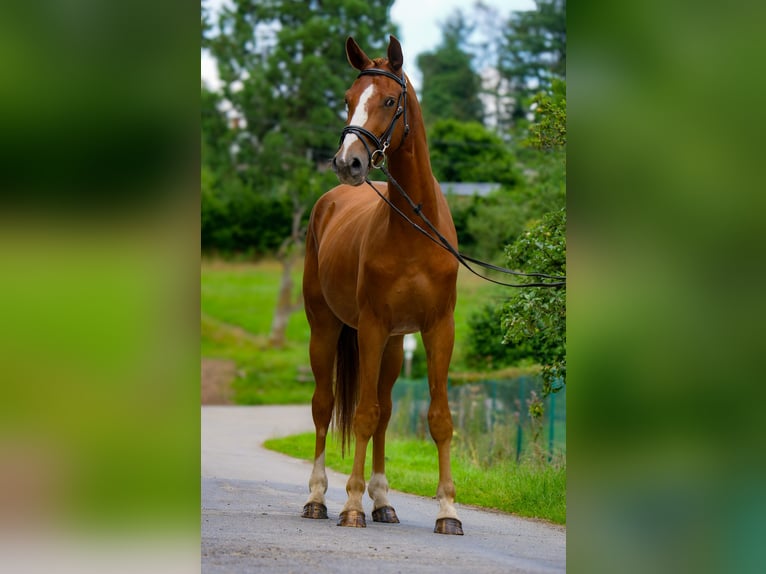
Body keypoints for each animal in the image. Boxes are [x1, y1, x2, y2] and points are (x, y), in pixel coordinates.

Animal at [304, 36, 464, 536]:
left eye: (391, 101)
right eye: (348, 99)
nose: (347, 162)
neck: (413, 230)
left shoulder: (437, 329)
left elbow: (438, 418)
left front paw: (448, 511)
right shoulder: (371, 327)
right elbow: (362, 413)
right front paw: (352, 506)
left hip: (394, 345)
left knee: (387, 410)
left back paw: (383, 502)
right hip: (325, 330)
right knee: (325, 405)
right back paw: (318, 498)